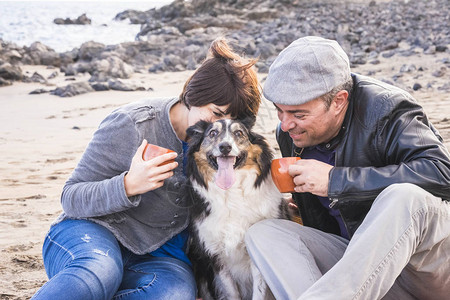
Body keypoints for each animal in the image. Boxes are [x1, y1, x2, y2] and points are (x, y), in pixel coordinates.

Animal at [185, 118, 288, 298]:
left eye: (239, 133)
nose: (225, 147)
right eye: (212, 133)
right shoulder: (215, 255)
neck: (232, 194)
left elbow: (259, 293)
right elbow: (231, 293)